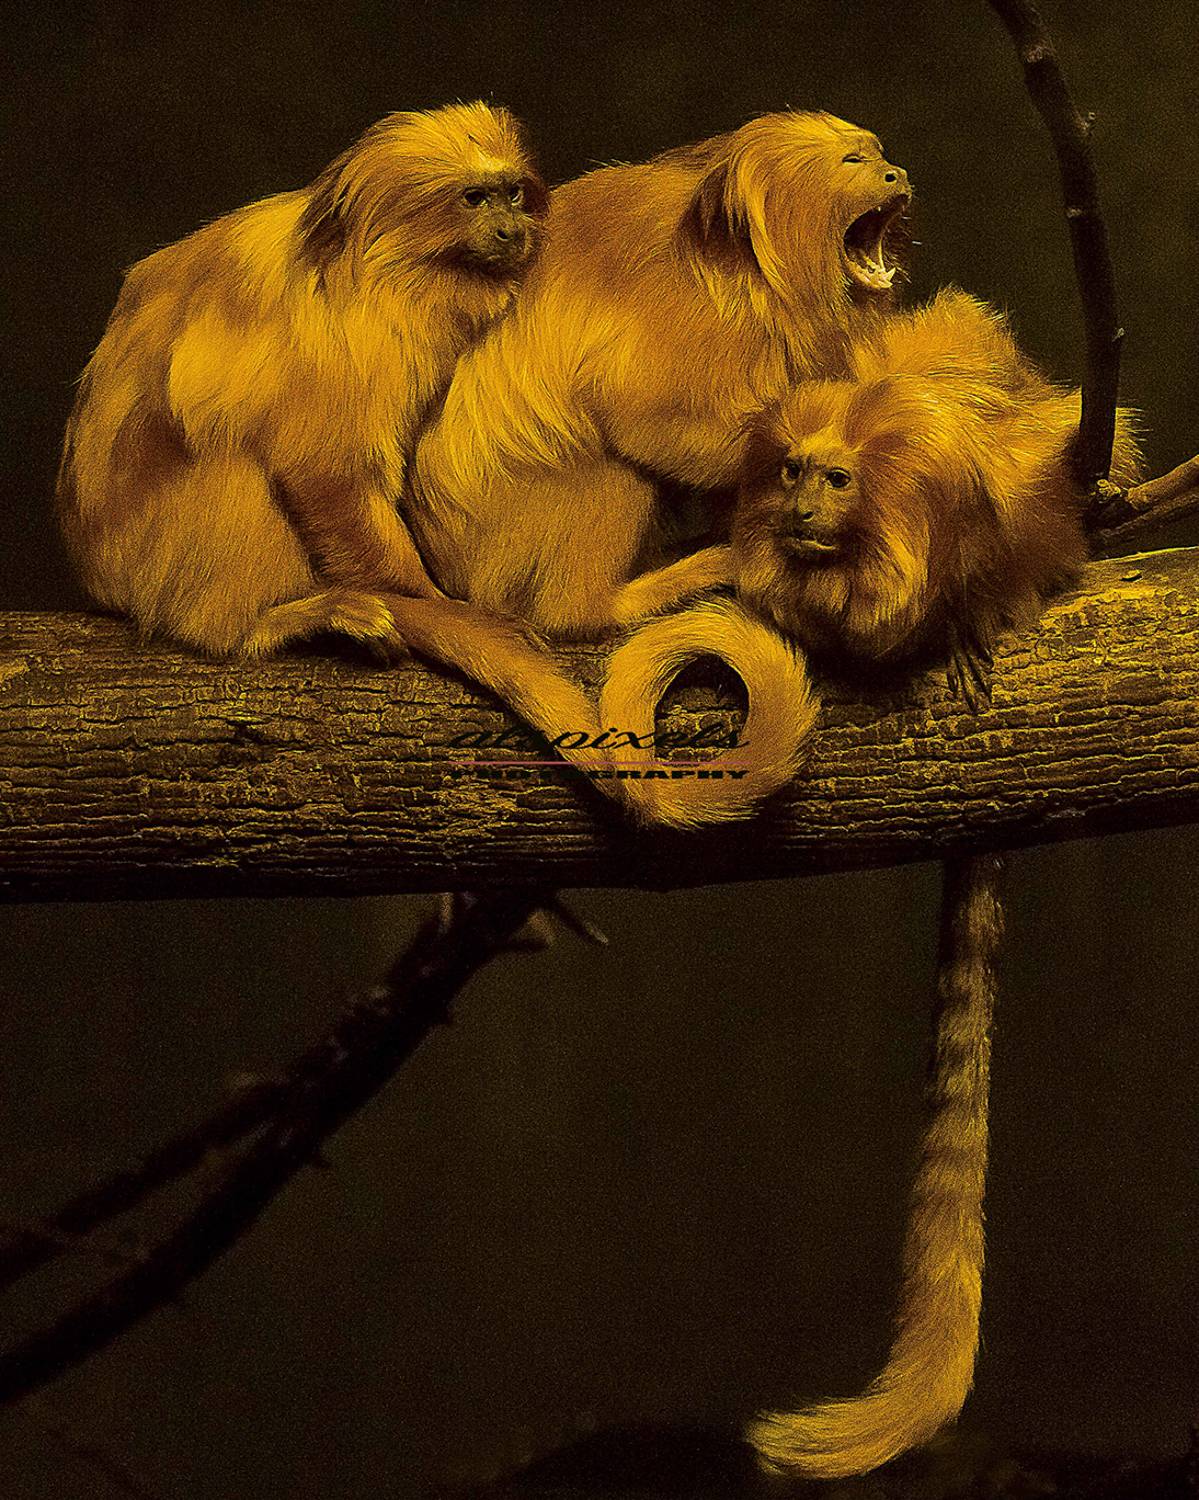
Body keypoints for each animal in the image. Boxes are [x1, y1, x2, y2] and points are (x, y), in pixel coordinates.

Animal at [57, 100, 547, 658]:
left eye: (511, 193)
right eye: (474, 199)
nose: (512, 230)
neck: (385, 269)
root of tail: (99, 581)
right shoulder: (353, 348)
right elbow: (327, 473)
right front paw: (441, 605)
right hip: (145, 562)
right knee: (230, 458)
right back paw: (266, 623)